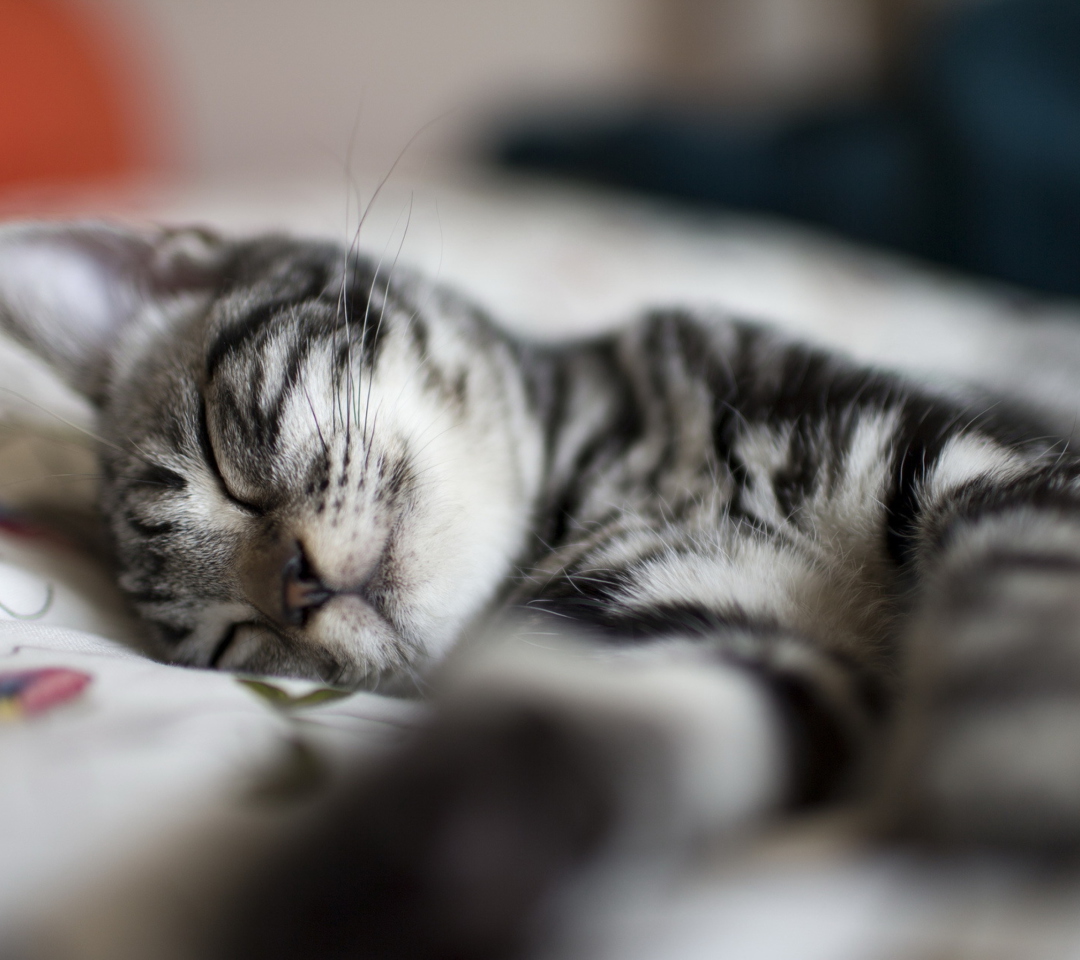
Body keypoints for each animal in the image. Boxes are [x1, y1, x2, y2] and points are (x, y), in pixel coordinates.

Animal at [2, 221, 1080, 954]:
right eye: (233, 638)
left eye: (223, 458)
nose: (296, 589)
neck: (614, 470)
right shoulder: (675, 630)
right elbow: (572, 736)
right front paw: (379, 885)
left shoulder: (973, 462)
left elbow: (1030, 609)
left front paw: (1015, 809)